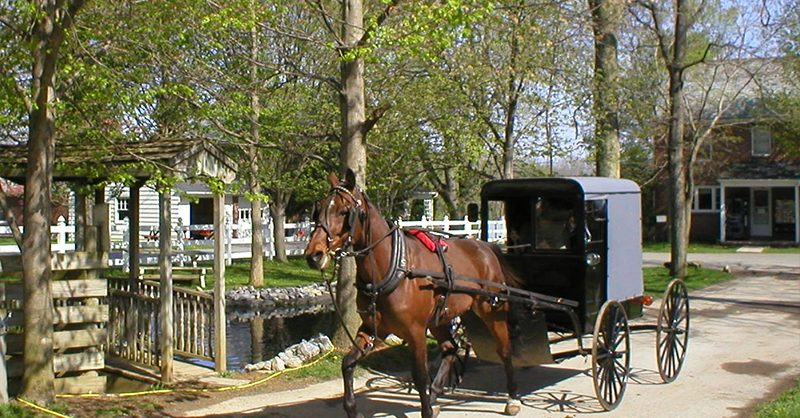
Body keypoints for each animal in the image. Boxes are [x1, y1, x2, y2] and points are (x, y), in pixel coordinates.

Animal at [304, 170, 520, 418]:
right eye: (319, 208)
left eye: (344, 211)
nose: (313, 254)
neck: (394, 266)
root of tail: (486, 247)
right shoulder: (372, 328)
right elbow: (347, 363)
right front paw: (351, 409)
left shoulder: (415, 331)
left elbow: (419, 376)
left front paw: (426, 408)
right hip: (441, 317)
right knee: (450, 349)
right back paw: (435, 397)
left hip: (492, 310)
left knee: (504, 349)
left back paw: (513, 397)